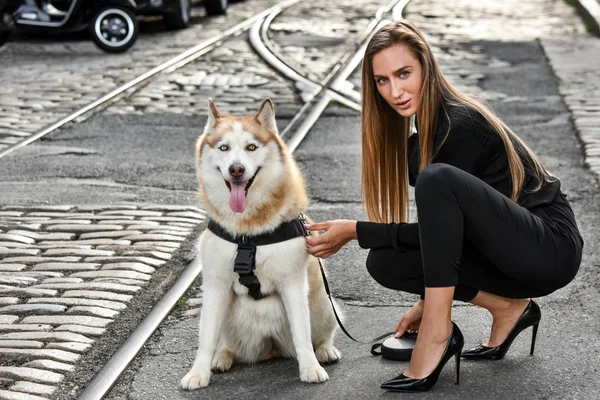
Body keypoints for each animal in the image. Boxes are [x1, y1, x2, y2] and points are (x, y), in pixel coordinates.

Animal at [180, 98, 340, 390]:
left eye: (251, 147)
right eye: (224, 147)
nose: (236, 169)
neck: (249, 233)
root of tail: (271, 348)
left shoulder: (293, 283)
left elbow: (302, 334)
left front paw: (310, 368)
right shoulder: (215, 286)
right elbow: (206, 338)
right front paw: (198, 373)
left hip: (324, 302)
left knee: (320, 333)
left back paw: (325, 350)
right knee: (225, 343)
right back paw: (222, 357)